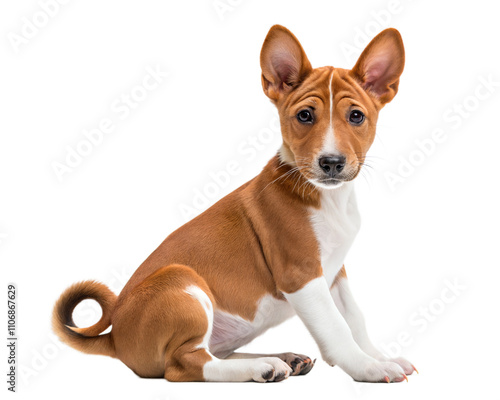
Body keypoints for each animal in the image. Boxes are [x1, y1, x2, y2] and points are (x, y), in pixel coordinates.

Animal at [52, 25, 416, 384]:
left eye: (356, 116)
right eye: (304, 115)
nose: (331, 162)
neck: (327, 198)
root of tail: (115, 337)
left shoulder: (335, 273)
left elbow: (354, 317)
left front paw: (378, 355)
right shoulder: (301, 274)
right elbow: (337, 328)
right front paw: (367, 367)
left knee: (215, 353)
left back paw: (281, 360)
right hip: (181, 281)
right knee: (185, 365)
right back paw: (260, 367)